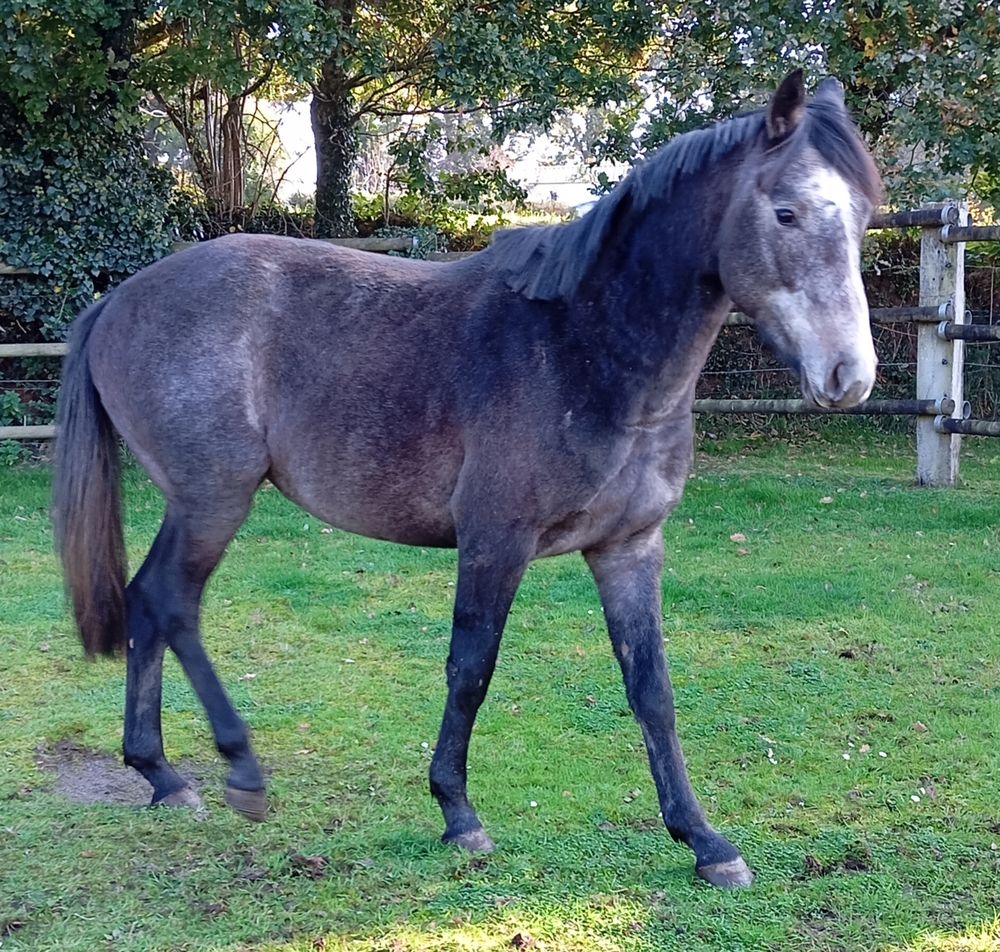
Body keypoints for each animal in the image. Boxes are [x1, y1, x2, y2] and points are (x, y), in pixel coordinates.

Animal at [53, 71, 881, 889]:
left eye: (864, 217)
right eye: (786, 211)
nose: (850, 374)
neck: (585, 347)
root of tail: (117, 302)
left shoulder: (630, 547)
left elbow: (652, 690)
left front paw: (704, 840)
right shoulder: (495, 541)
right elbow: (471, 668)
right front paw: (459, 814)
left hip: (194, 503)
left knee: (146, 602)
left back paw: (160, 773)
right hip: (215, 500)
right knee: (173, 604)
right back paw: (239, 771)